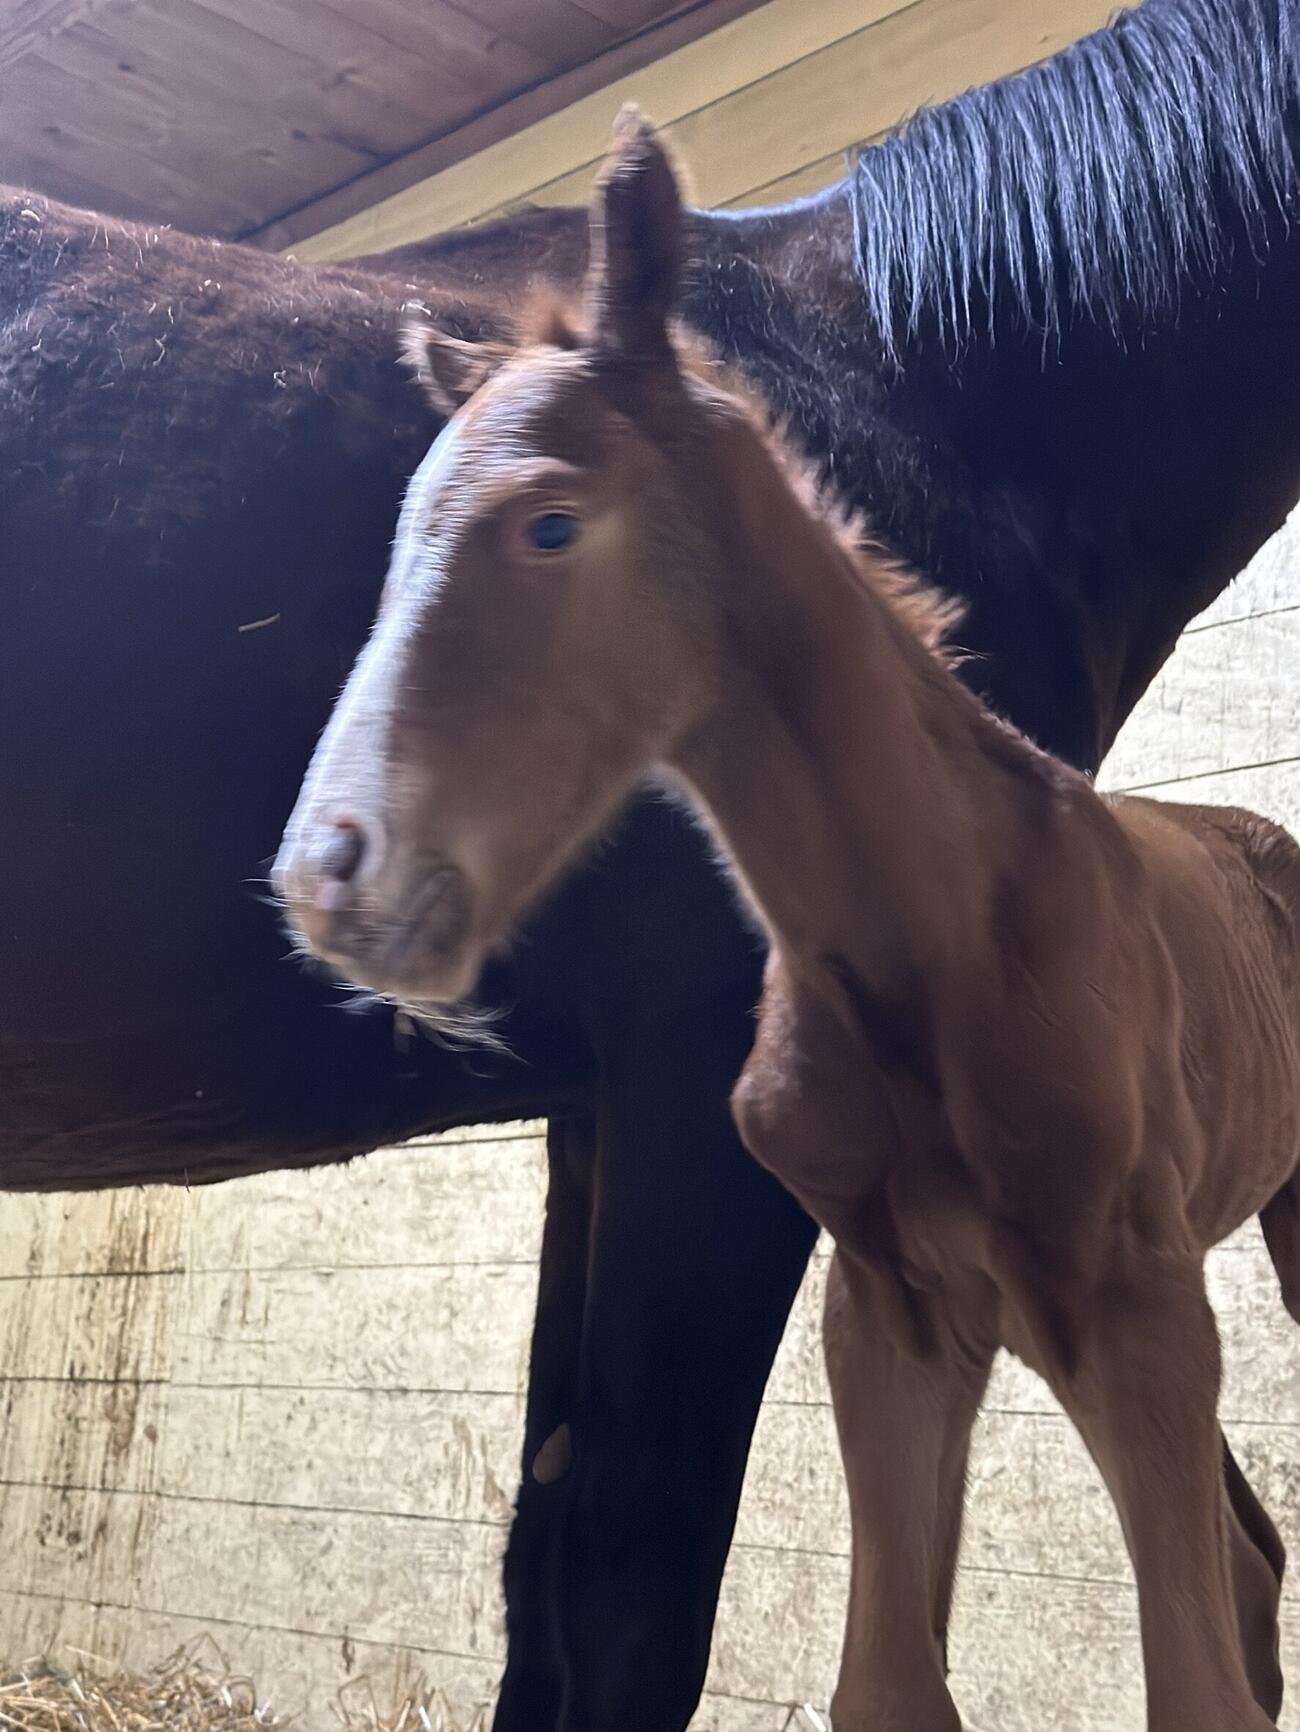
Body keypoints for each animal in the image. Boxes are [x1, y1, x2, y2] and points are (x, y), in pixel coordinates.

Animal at [3, 0, 1299, 1722]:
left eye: (547, 532)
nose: (333, 877)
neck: (928, 374)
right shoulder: (708, 1105)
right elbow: (632, 1581)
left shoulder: (607, 1111)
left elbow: (552, 1559)